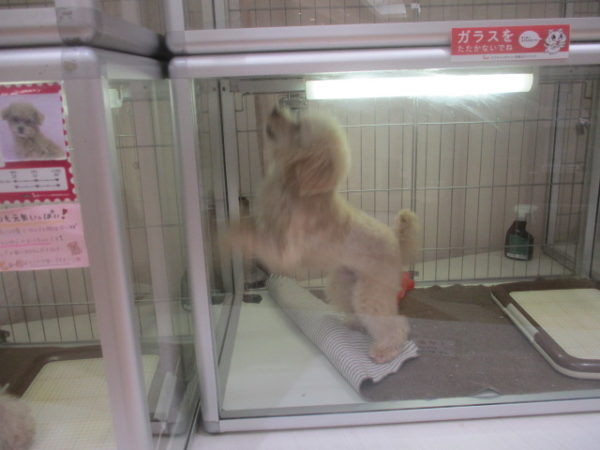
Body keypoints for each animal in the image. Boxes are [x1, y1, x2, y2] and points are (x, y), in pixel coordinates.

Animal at [231, 107, 419, 363]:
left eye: (298, 127)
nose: (274, 110)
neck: (295, 189)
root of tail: (395, 238)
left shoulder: (284, 252)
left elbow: (249, 235)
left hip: (372, 290)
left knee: (395, 324)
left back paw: (385, 350)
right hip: (343, 283)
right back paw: (353, 323)